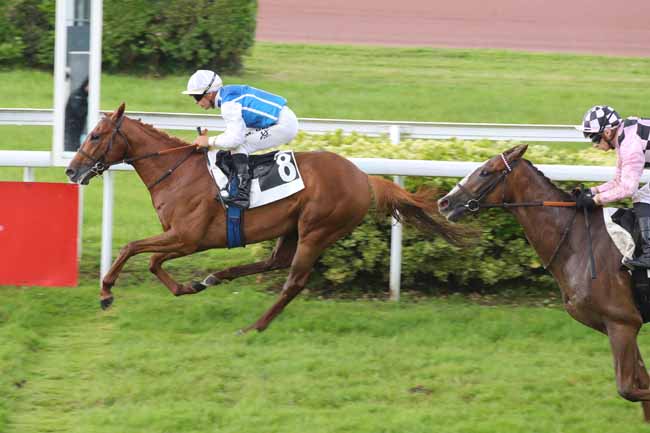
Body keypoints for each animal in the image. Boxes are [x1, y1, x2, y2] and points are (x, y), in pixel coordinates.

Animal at [67, 103, 470, 332]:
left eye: (97, 135)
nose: (72, 170)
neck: (176, 172)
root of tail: (363, 177)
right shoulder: (181, 238)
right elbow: (151, 260)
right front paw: (187, 286)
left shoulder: (188, 237)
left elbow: (134, 248)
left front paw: (106, 292)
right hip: (292, 228)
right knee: (275, 262)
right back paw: (216, 277)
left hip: (317, 229)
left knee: (293, 280)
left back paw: (255, 326)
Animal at [436, 143, 648, 420]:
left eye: (485, 171)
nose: (444, 202)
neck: (579, 241)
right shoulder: (617, 326)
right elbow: (641, 381)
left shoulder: (622, 323)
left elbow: (630, 389)